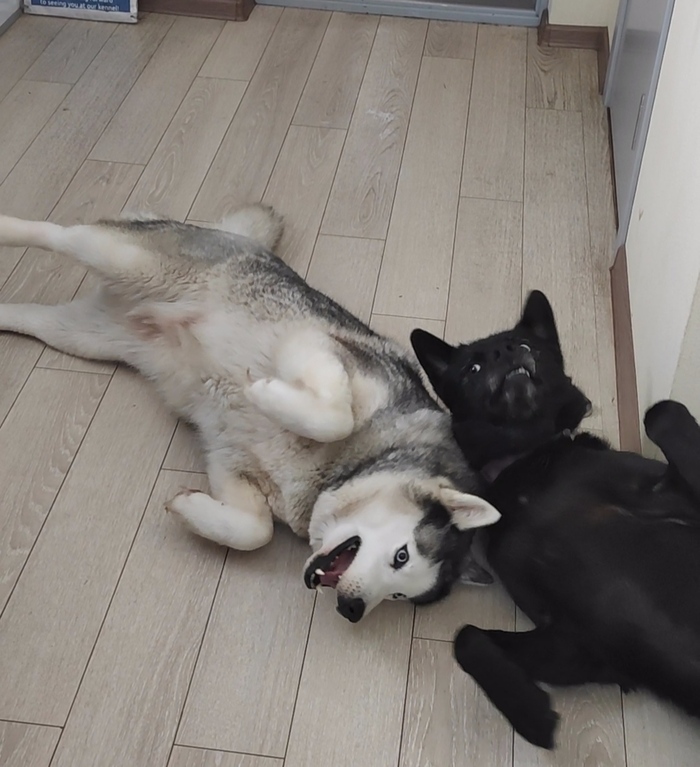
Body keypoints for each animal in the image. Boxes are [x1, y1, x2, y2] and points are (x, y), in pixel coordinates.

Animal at [0, 205, 501, 623]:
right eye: (402, 556)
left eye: (398, 595)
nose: (353, 610)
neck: (349, 468)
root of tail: (246, 240)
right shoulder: (319, 347)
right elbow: (332, 416)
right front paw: (263, 392)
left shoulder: (230, 461)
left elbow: (252, 530)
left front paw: (189, 507)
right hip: (123, 258)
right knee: (59, 234)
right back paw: (10, 226)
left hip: (84, 337)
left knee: (27, 315)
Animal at [411, 290, 700, 747]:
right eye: (473, 368)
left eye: (528, 345)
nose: (506, 352)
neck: (527, 461)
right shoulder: (579, 646)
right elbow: (466, 637)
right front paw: (532, 713)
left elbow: (662, 412)